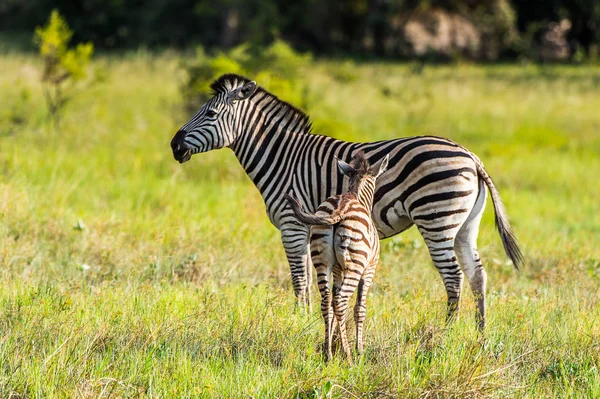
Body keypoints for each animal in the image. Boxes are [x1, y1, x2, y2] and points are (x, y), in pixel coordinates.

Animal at [170, 73, 520, 330]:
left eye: (210, 113)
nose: (174, 145)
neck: (283, 158)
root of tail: (471, 156)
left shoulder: (291, 224)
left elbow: (299, 278)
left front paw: (297, 321)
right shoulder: (307, 228)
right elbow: (309, 278)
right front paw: (308, 320)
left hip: (436, 218)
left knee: (454, 276)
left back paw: (447, 332)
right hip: (464, 224)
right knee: (477, 274)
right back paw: (478, 334)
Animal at [286, 152, 390, 364]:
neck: (355, 195)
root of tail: (339, 209)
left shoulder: (336, 271)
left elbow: (333, 303)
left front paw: (331, 342)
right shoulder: (369, 270)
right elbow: (360, 308)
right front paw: (359, 349)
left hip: (322, 262)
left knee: (327, 302)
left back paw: (329, 353)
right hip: (355, 265)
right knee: (341, 301)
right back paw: (349, 356)